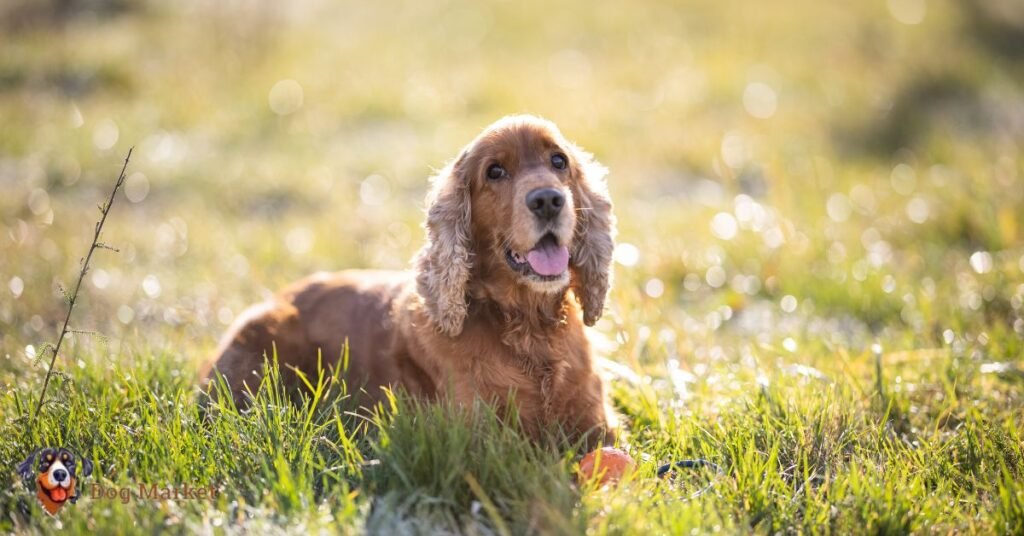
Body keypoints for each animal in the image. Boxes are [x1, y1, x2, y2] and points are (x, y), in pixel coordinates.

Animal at [200, 116, 614, 444]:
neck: (529, 327)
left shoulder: (598, 423)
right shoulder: (485, 436)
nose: (548, 200)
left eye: (558, 161)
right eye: (495, 171)